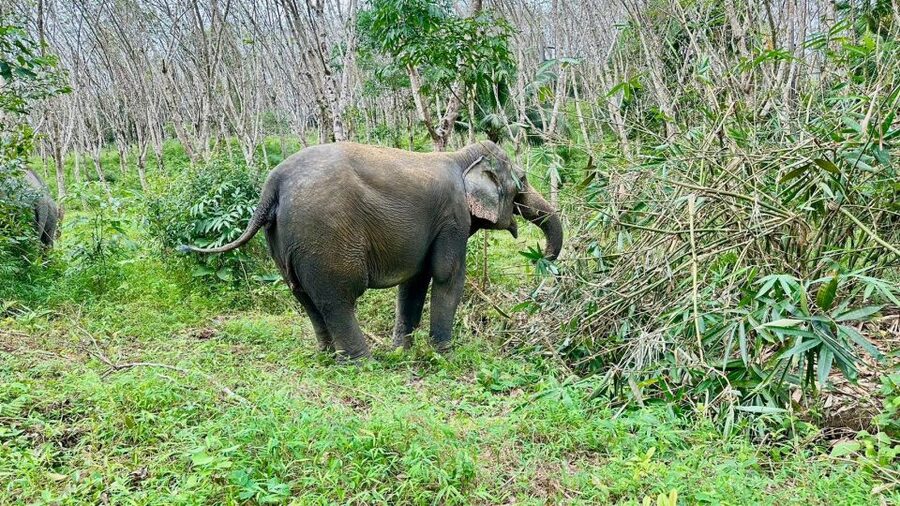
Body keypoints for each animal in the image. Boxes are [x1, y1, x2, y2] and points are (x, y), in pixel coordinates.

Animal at [181, 141, 562, 360]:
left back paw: (327, 355)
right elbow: (447, 275)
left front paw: (401, 352)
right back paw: (360, 361)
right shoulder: (452, 218)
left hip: (282, 238)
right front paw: (445, 355)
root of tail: (272, 184)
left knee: (303, 295)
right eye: (523, 180)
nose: (541, 258)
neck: (460, 156)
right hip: (325, 235)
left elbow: (414, 282)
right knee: (337, 297)